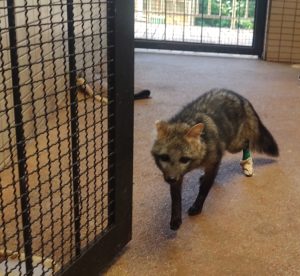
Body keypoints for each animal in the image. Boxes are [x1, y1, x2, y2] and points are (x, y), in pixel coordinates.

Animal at [151, 89, 280, 231]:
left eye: (184, 159)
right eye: (164, 157)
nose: (171, 179)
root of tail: (239, 96)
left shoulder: (213, 163)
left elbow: (204, 190)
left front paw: (197, 207)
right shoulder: (178, 176)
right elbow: (176, 199)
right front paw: (175, 218)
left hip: (233, 145)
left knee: (247, 142)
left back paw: (247, 164)